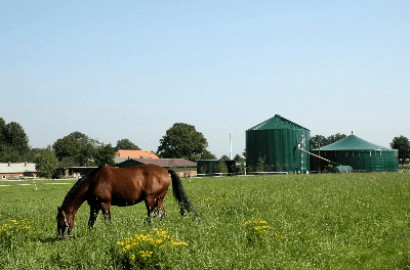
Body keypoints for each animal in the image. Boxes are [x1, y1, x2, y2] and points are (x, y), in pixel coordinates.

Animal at [57, 165, 197, 236]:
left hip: (150, 199)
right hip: (159, 199)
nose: (61, 238)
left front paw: (112, 233)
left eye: (61, 222)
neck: (93, 181)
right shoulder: (94, 206)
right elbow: (91, 222)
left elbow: (107, 220)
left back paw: (143, 227)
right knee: (162, 214)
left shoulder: (104, 204)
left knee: (152, 214)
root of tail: (166, 171)